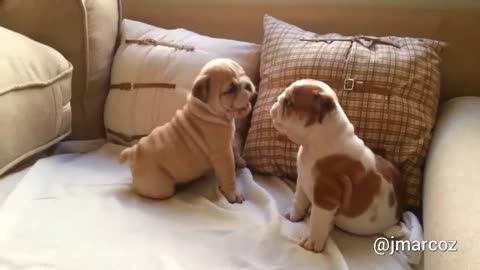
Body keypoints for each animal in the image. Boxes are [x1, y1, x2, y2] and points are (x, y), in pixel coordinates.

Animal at [119, 58, 255, 204]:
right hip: (160, 186)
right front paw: (233, 194)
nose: (247, 85)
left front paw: (241, 162)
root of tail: (135, 151)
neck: (207, 109)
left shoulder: (230, 142)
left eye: (244, 74)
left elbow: (236, 151)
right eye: (231, 89)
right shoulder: (223, 154)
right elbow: (229, 174)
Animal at [270, 79, 404, 252]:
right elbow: (299, 200)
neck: (315, 141)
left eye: (288, 102)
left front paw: (313, 243)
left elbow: (317, 221)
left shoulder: (325, 196)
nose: (277, 100)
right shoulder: (302, 181)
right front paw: (294, 215)